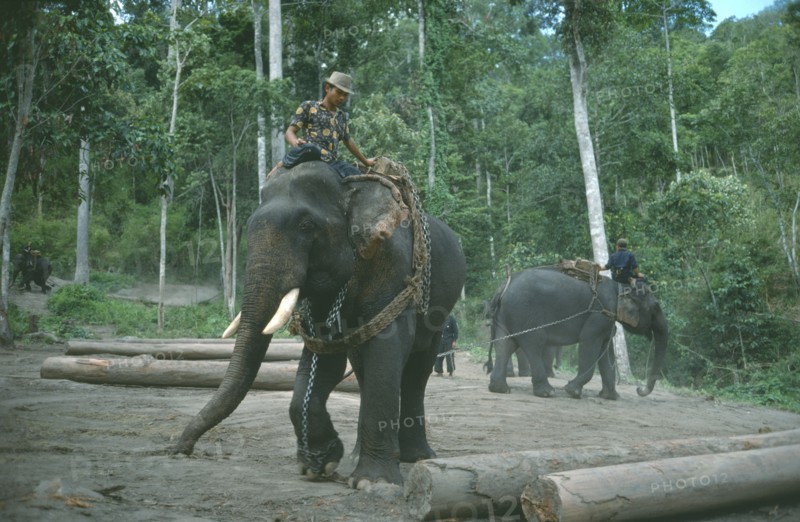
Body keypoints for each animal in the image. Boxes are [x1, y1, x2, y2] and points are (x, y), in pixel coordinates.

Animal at [170, 160, 466, 488]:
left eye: (306, 227)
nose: (180, 449)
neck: (350, 185)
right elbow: (325, 356)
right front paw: (320, 465)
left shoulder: (390, 263)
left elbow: (386, 347)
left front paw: (373, 483)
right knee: (363, 366)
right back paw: (356, 456)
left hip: (439, 312)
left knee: (417, 369)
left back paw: (415, 457)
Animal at [485, 266, 668, 399]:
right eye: (654, 310)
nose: (639, 389)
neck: (621, 287)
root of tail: (503, 288)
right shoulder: (599, 315)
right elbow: (589, 345)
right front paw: (572, 391)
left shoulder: (607, 319)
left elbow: (606, 353)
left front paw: (611, 397)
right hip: (525, 312)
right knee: (534, 343)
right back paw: (547, 392)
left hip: (507, 314)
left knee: (505, 344)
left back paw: (500, 389)